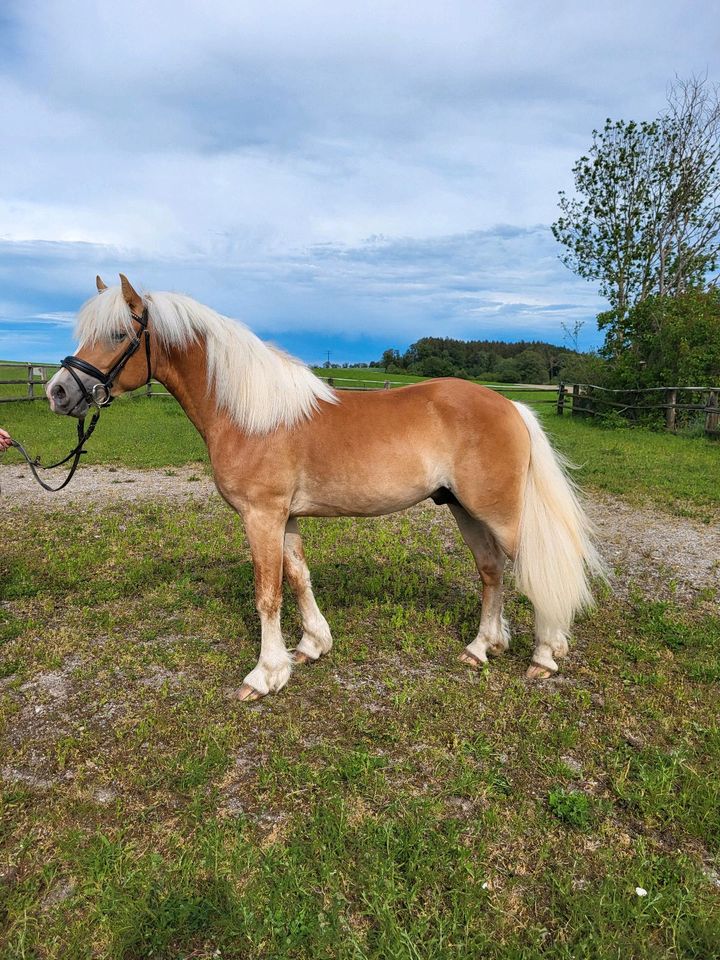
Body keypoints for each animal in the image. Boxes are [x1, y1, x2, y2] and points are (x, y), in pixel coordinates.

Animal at [47, 274, 604, 700]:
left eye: (118, 333)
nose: (58, 392)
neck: (250, 413)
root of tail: (511, 405)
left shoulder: (262, 515)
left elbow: (267, 593)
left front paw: (264, 676)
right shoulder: (286, 517)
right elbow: (298, 579)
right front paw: (311, 646)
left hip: (500, 512)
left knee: (530, 568)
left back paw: (545, 655)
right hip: (464, 509)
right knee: (491, 571)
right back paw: (481, 647)